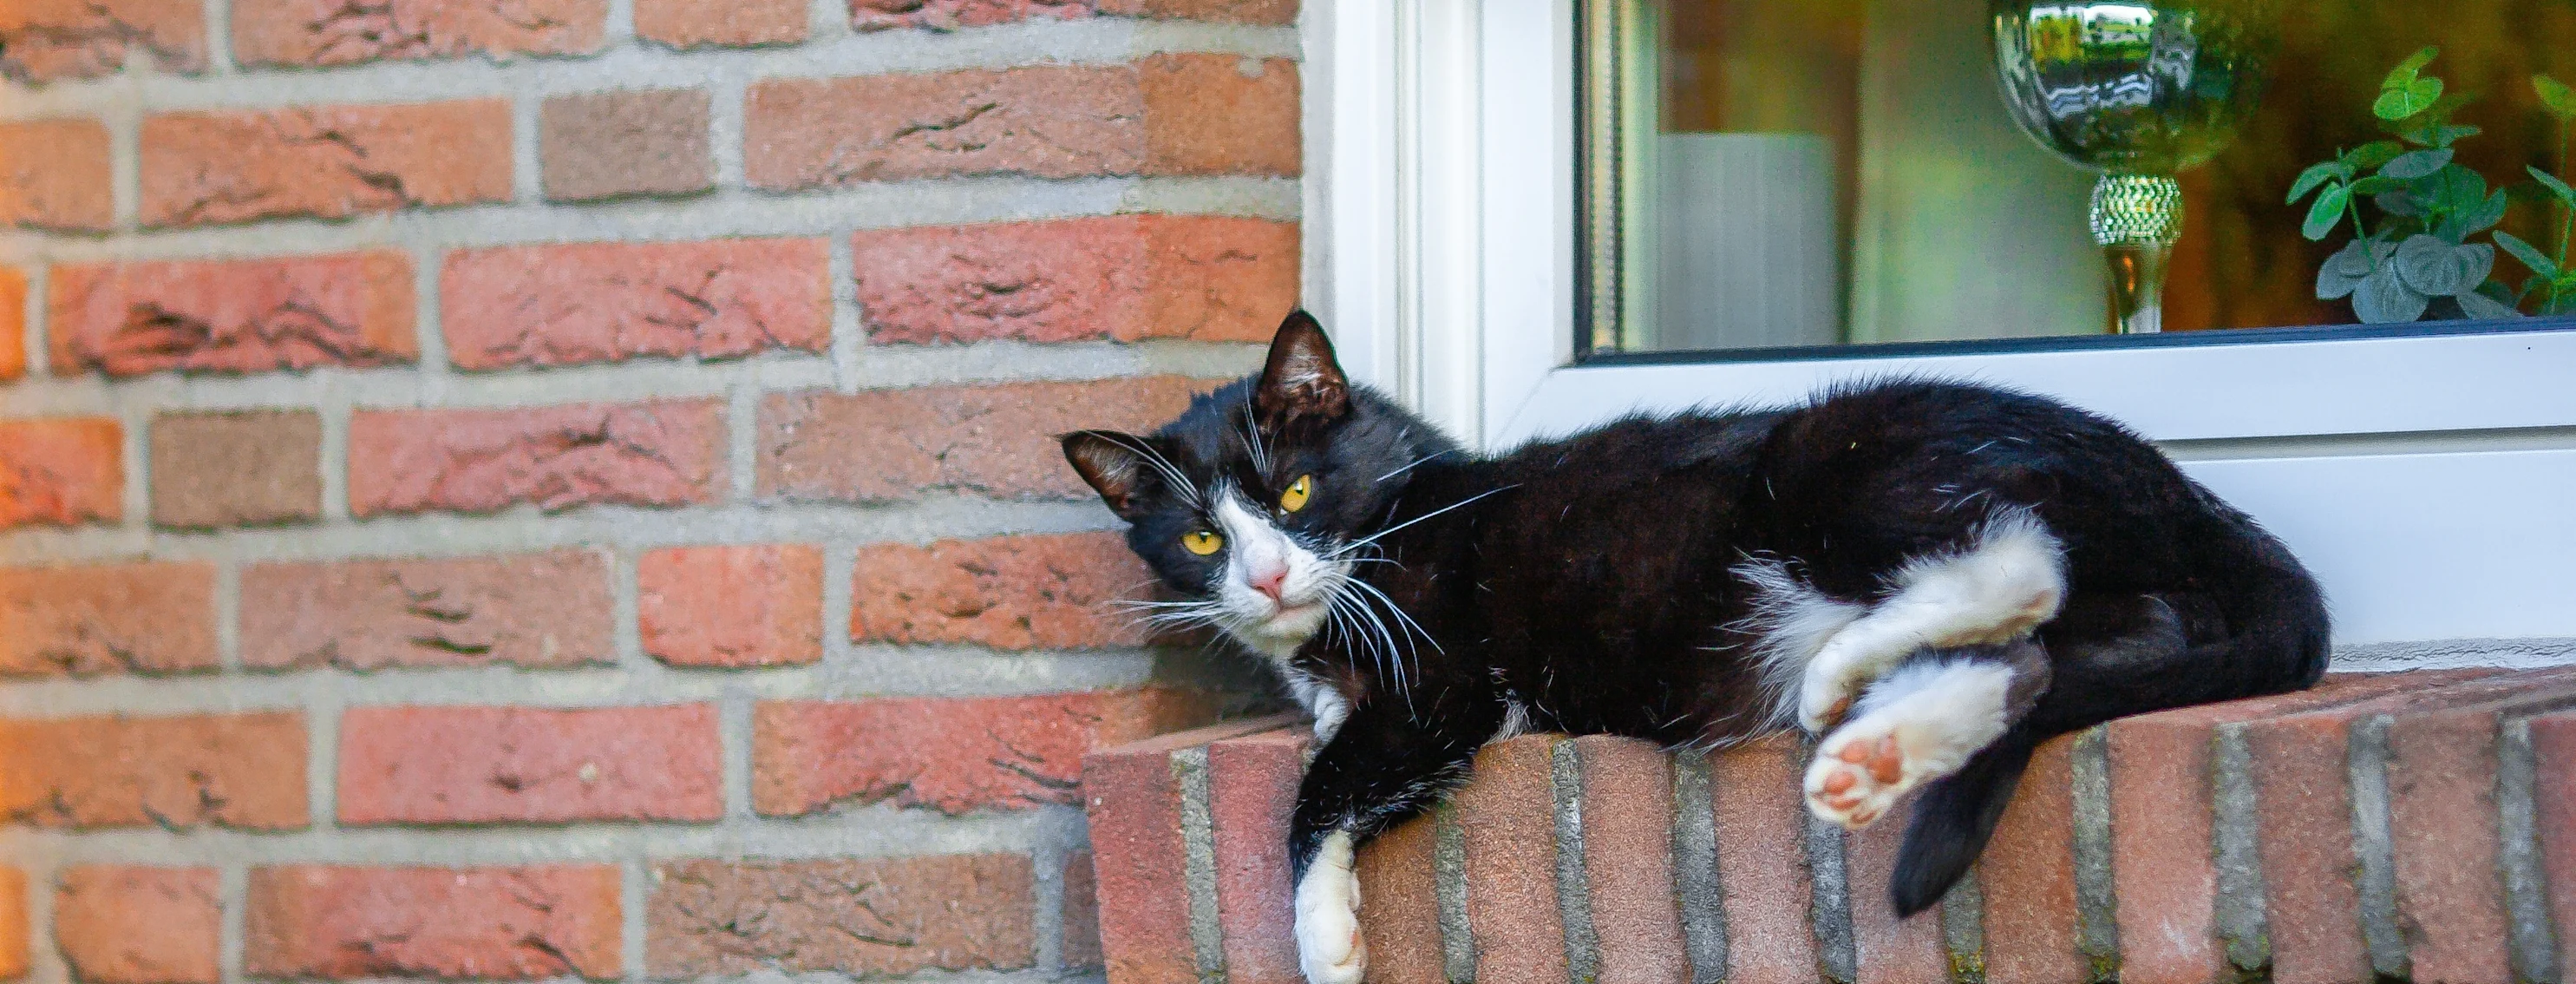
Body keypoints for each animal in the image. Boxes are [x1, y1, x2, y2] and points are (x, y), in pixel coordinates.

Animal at [1056, 309, 2328, 984]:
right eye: (1203, 535)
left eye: (1297, 489)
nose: (1266, 574)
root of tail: (2184, 488)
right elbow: (1331, 742)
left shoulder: (1440, 678)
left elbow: (1320, 790)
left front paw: (1324, 940)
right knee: (2040, 656)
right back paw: (1871, 750)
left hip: (1838, 458)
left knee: (2018, 565)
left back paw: (1839, 668)